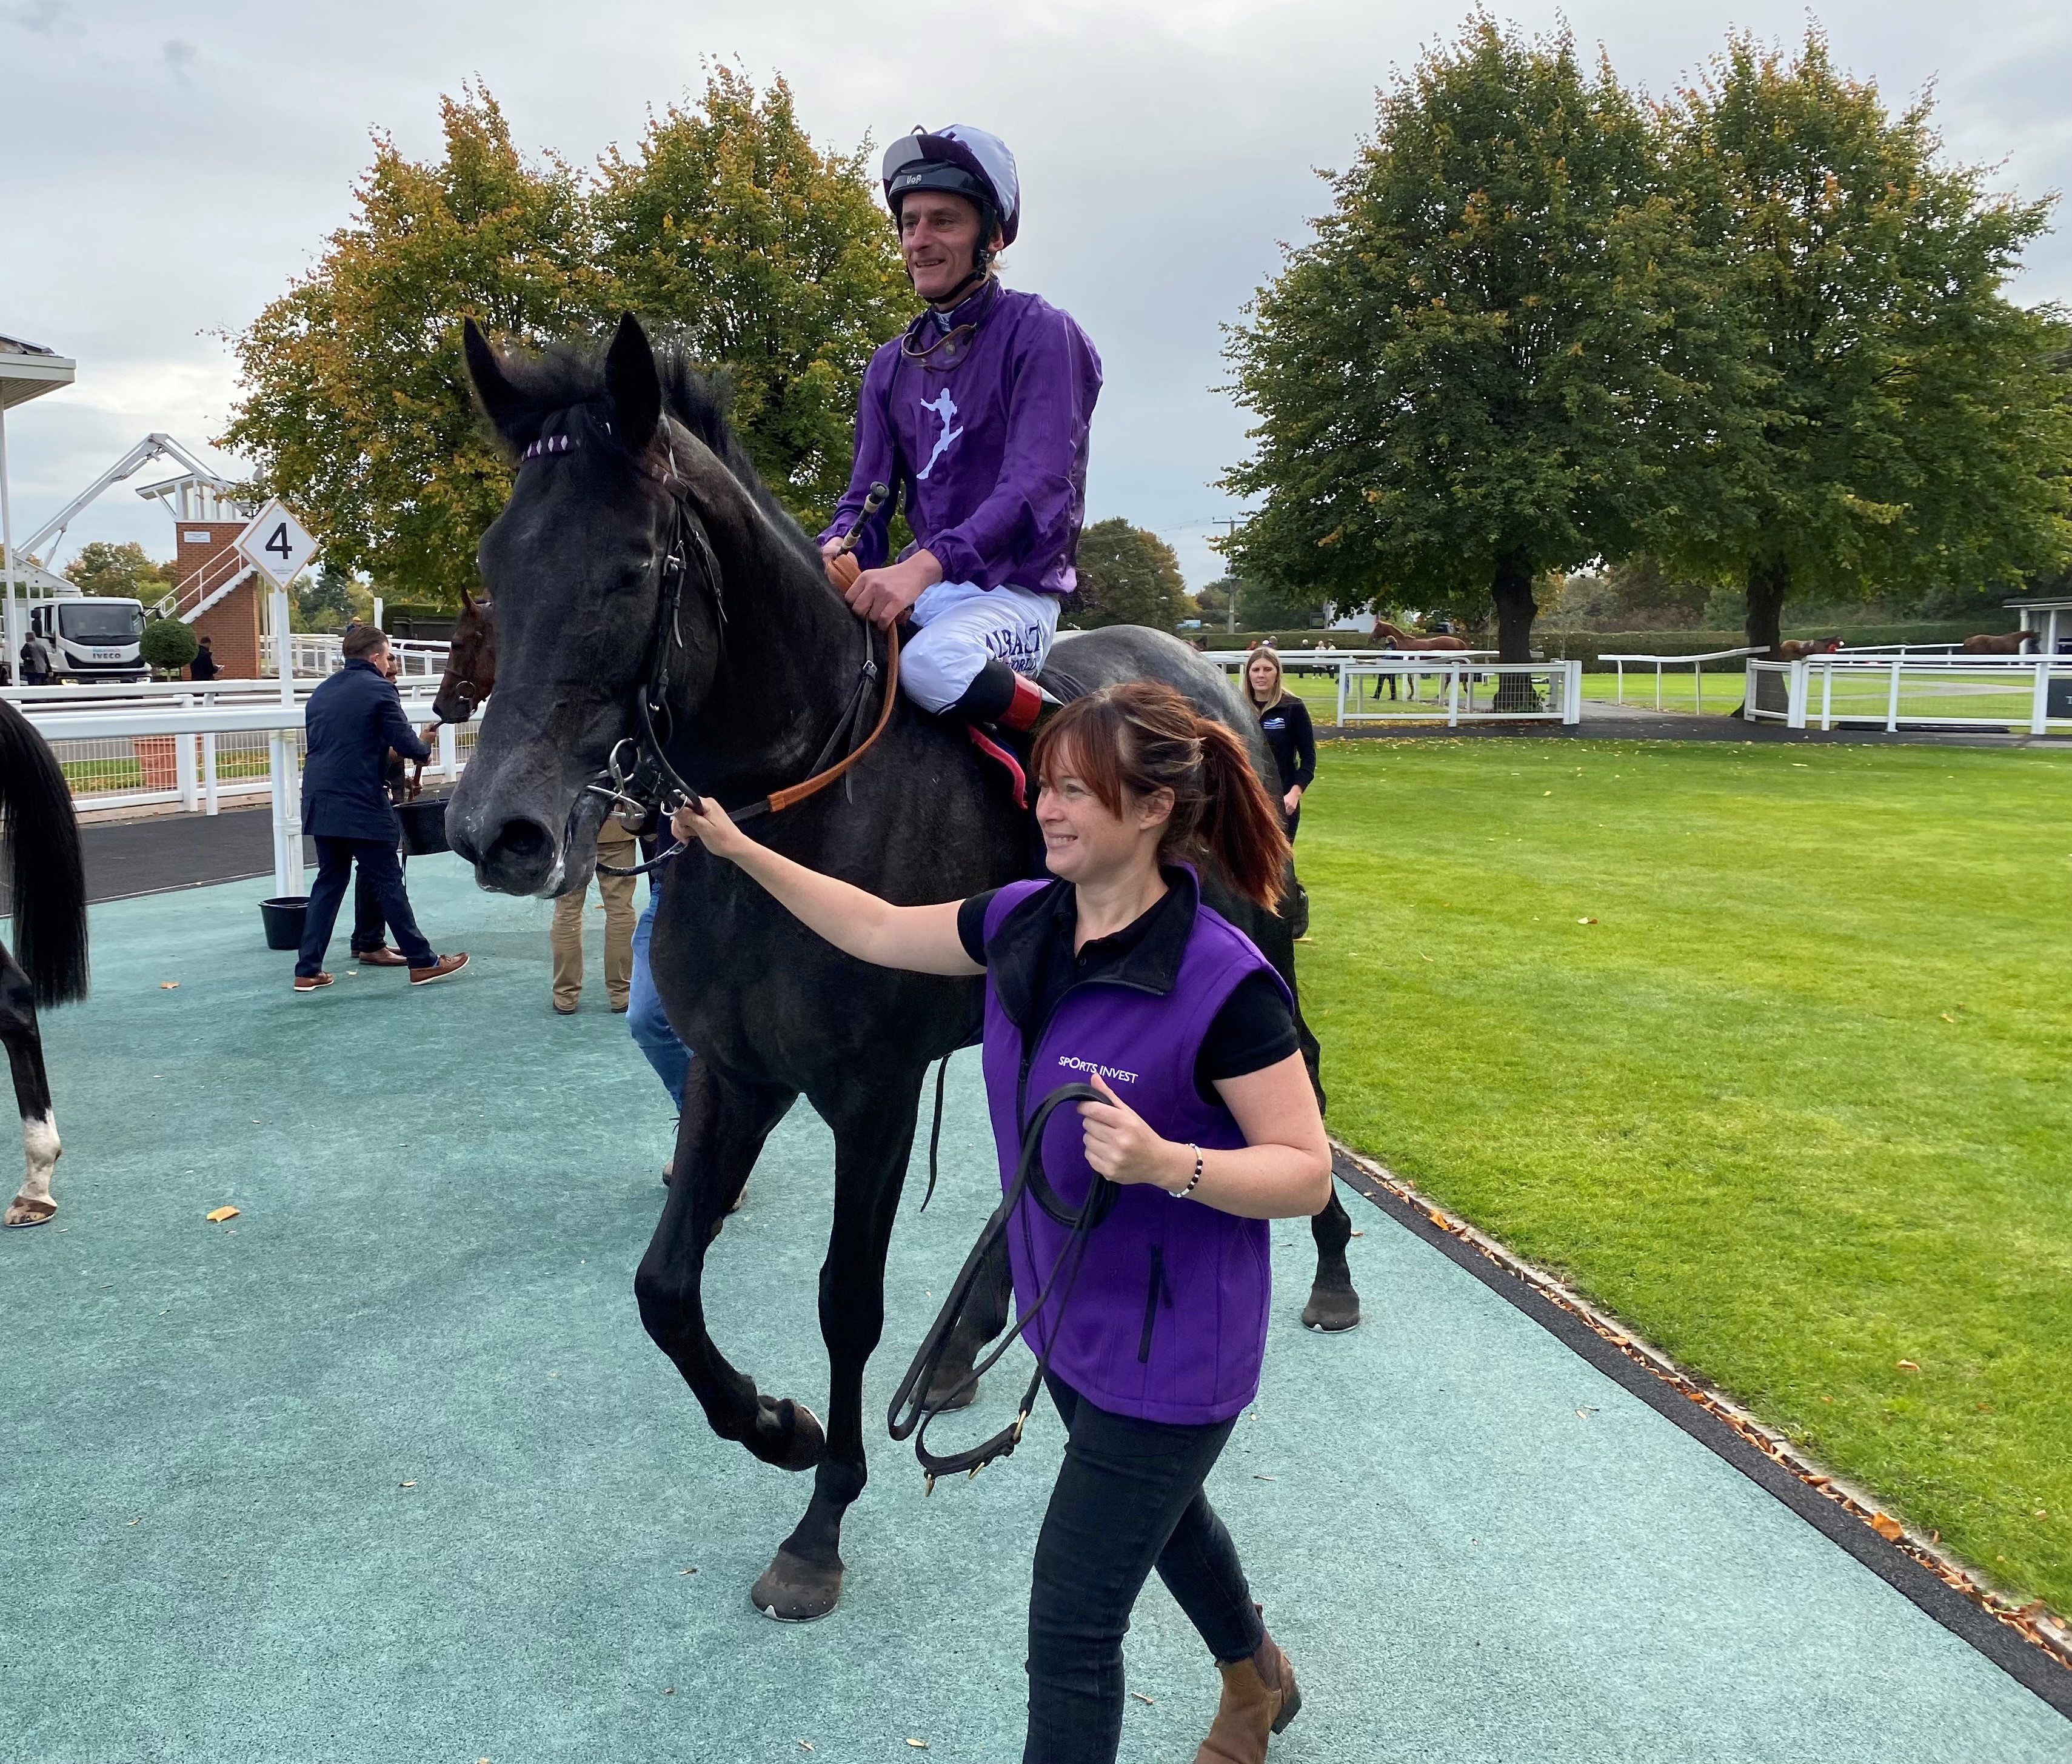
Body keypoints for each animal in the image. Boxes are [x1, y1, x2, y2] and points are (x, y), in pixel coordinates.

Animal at [445, 317, 1367, 1625]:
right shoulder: (734, 1073)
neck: (793, 808)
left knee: (1302, 1081)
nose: (495, 829)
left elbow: (845, 1298)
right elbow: (664, 1285)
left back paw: (1328, 1265)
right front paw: (773, 1424)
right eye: (493, 561)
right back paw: (968, 1337)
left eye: (628, 568)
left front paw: (820, 1519)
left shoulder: (868, 1099)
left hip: (1255, 948)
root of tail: (1201, 683)